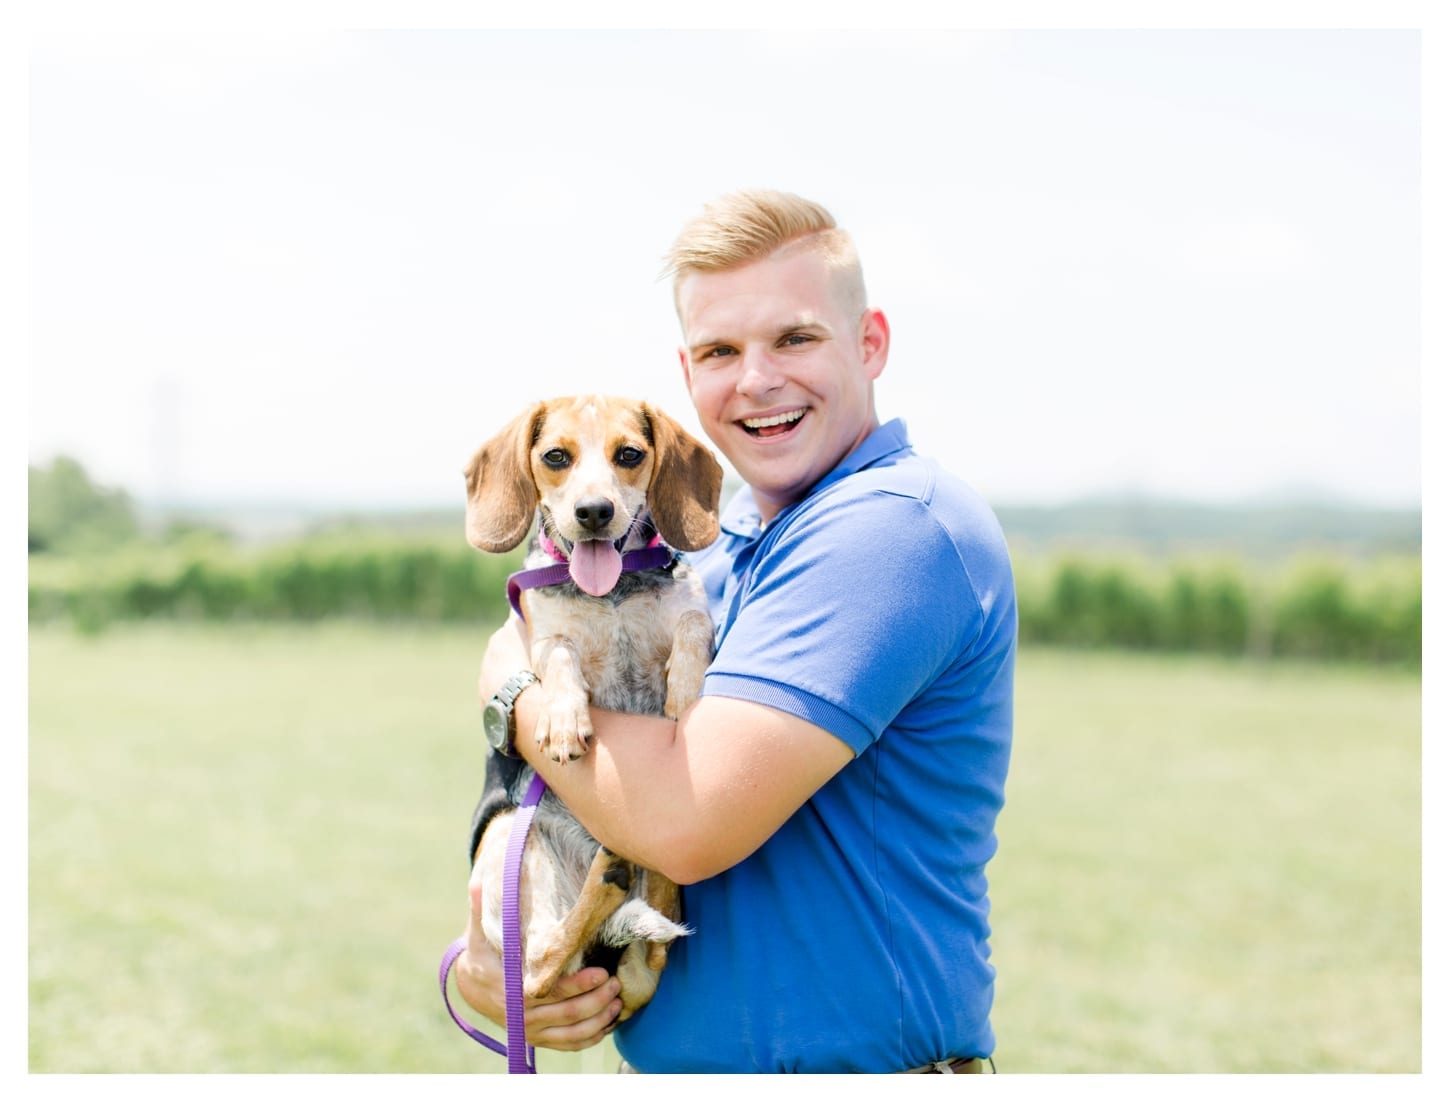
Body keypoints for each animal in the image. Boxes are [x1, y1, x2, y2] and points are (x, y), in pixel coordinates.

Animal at [464, 394, 719, 1015]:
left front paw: (685, 691)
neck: (612, 594)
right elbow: (560, 661)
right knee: (537, 967)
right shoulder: (545, 638)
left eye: (629, 454)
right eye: (556, 456)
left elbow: (691, 630)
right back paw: (605, 881)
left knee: (654, 924)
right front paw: (562, 720)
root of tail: (604, 948)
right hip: (509, 841)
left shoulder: (692, 607)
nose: (595, 512)